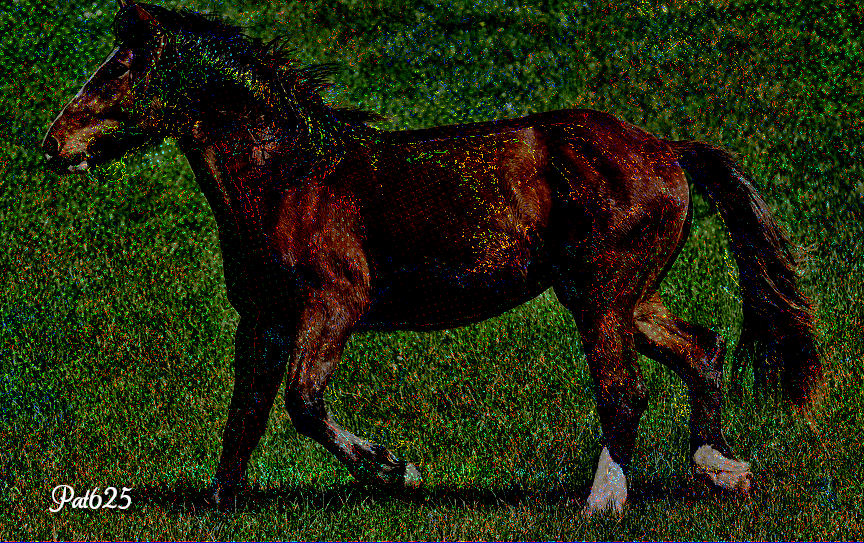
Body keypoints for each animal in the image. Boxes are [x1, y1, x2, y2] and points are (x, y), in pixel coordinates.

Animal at [42, 1, 821, 515]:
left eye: (117, 71)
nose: (54, 143)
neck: (288, 179)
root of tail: (668, 150)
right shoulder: (261, 320)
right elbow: (246, 415)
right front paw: (220, 505)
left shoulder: (334, 304)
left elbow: (302, 402)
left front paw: (395, 469)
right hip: (624, 295)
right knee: (704, 350)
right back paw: (723, 471)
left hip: (603, 297)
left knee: (625, 391)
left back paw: (601, 504)